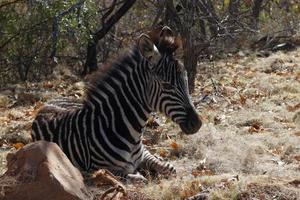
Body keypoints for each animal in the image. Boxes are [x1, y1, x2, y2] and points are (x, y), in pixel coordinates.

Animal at [31, 26, 202, 181]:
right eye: (167, 85)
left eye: (186, 79)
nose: (197, 123)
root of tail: (48, 102)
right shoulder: (100, 168)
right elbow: (139, 178)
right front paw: (143, 174)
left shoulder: (145, 154)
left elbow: (169, 168)